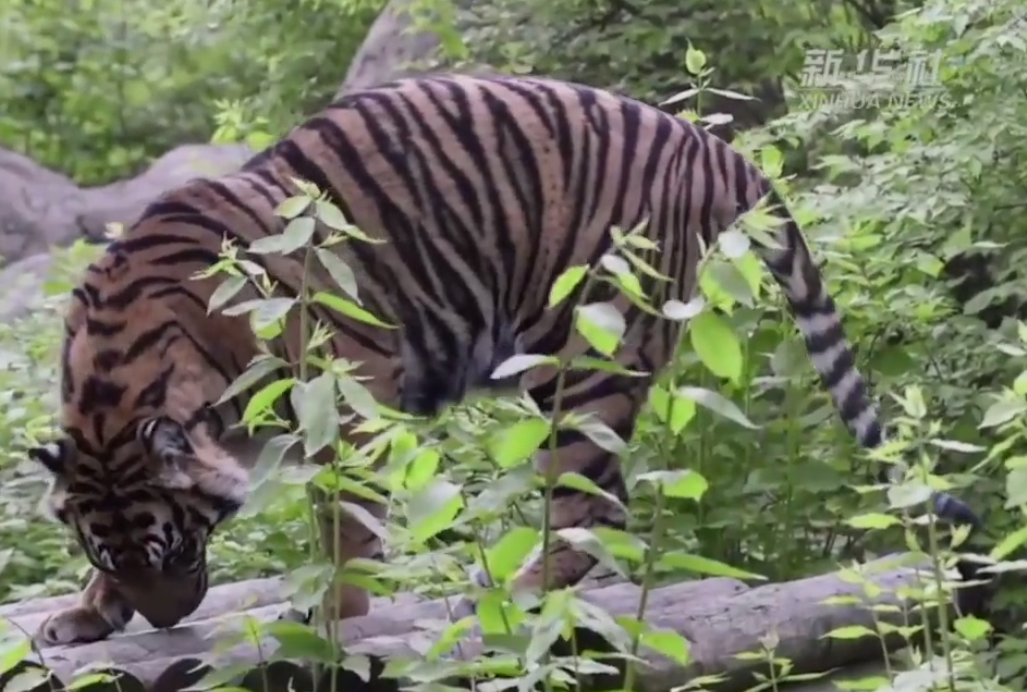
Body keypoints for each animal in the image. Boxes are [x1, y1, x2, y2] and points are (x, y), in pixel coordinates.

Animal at [26, 72, 985, 644]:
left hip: (585, 359)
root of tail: (710, 142)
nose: (167, 619)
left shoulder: (349, 396)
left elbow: (347, 523)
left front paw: (335, 614)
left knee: (594, 505)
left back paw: (514, 595)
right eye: (118, 555)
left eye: (178, 548)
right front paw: (86, 613)